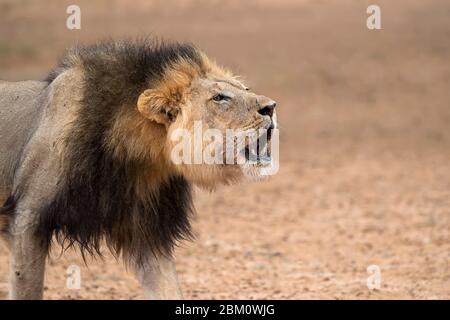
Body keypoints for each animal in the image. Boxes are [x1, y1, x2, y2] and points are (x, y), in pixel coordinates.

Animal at [0, 40, 276, 300]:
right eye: (219, 98)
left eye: (245, 89)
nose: (271, 107)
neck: (136, 158)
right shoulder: (28, 217)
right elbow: (27, 289)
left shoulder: (148, 233)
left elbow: (168, 289)